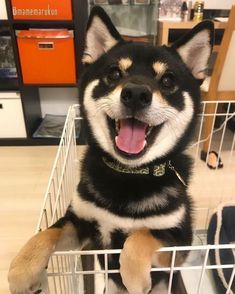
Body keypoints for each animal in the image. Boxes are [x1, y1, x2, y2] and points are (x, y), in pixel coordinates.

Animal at [7, 6, 213, 294]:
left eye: (168, 80)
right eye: (114, 74)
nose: (136, 93)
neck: (128, 174)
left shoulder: (178, 241)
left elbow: (139, 237)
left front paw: (135, 278)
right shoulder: (81, 224)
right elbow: (47, 233)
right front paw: (21, 270)